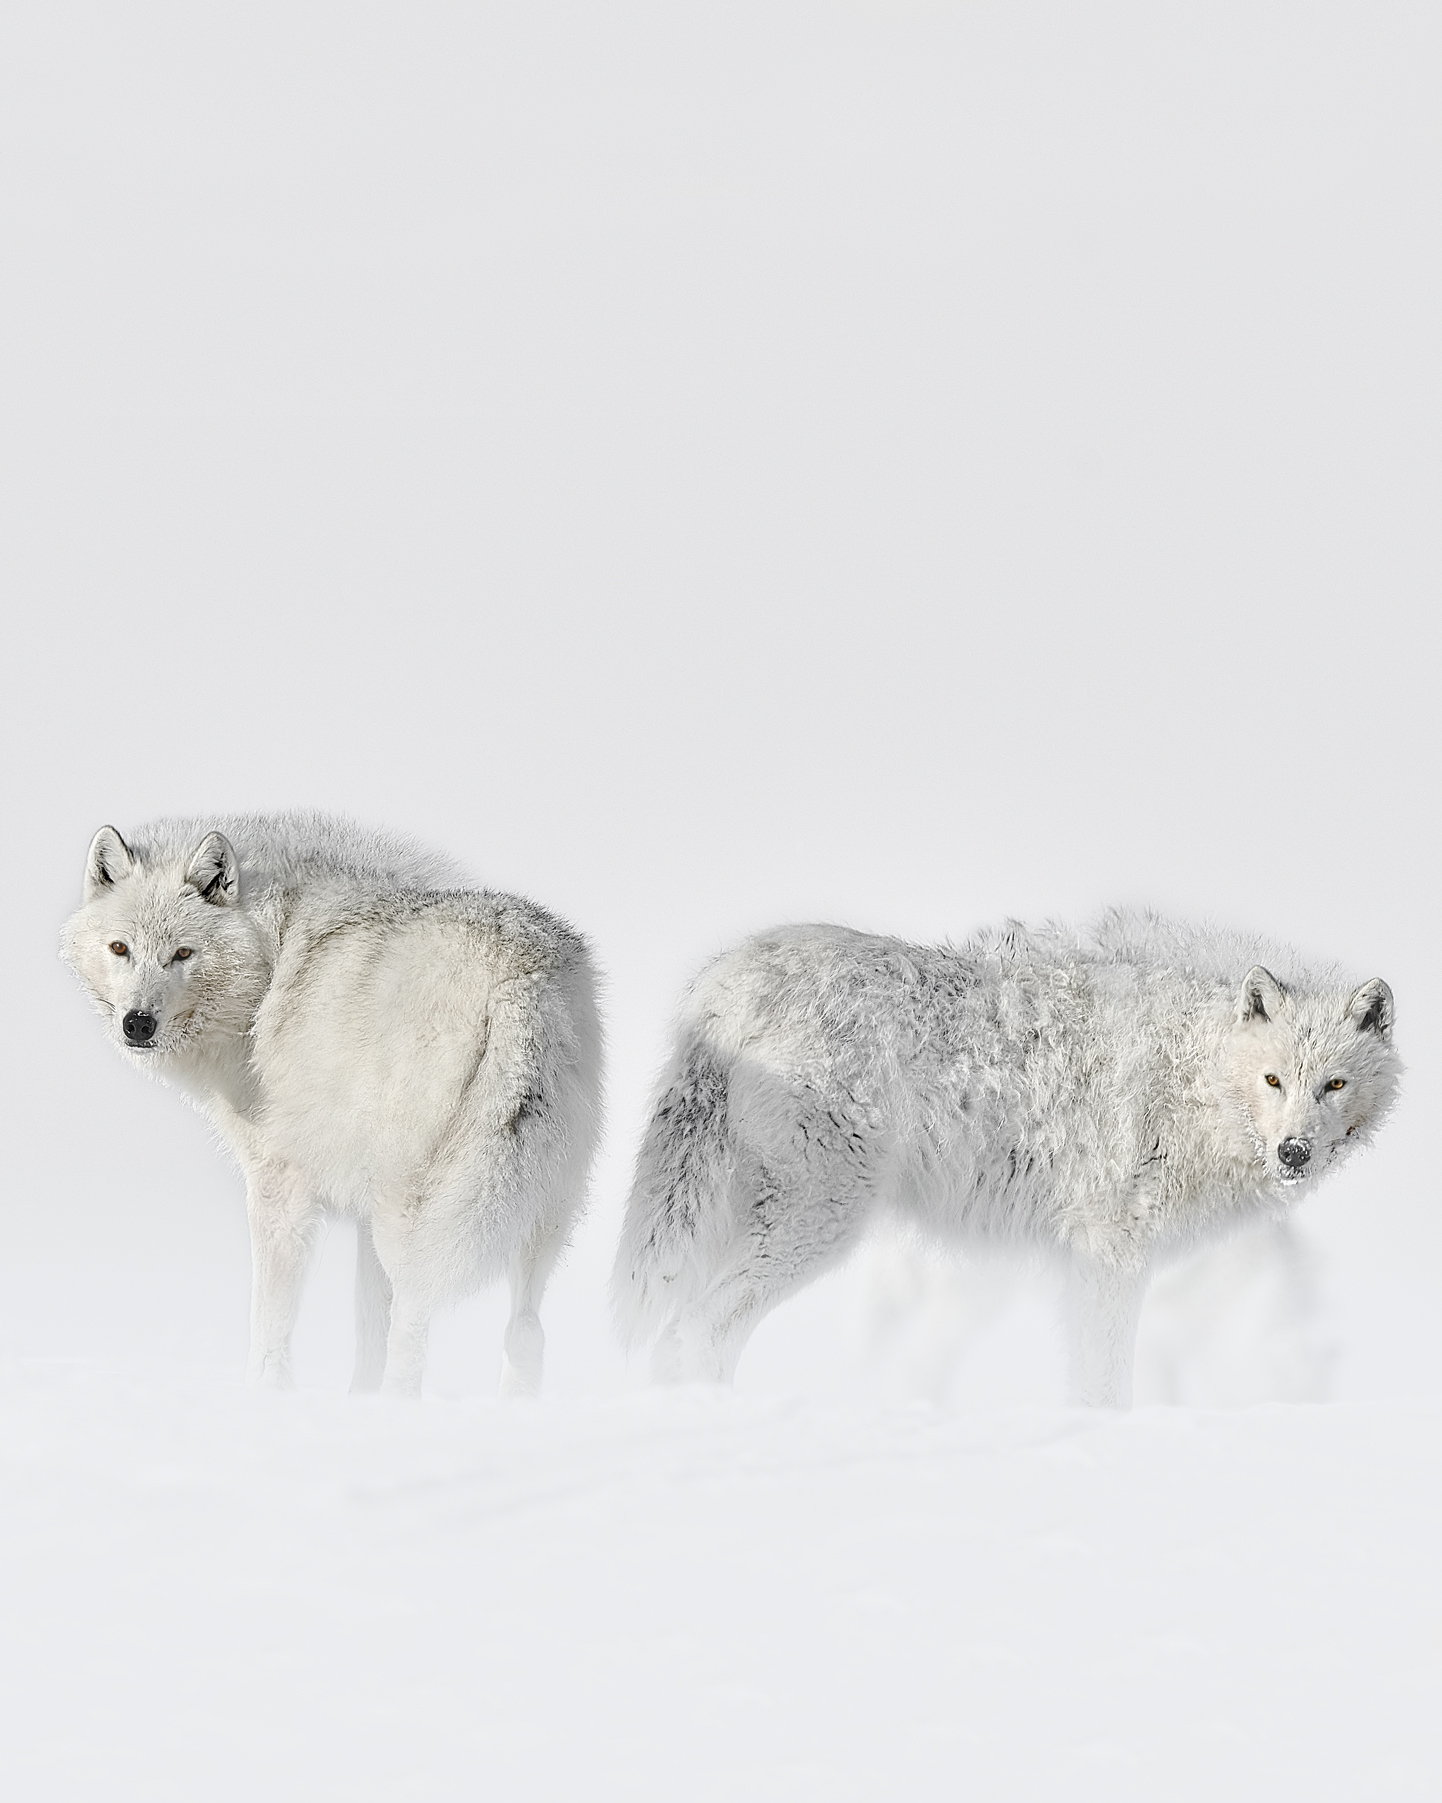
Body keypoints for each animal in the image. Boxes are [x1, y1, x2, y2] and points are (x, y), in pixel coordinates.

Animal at [61, 813, 603, 1397]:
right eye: (120, 948)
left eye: (183, 953)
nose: (137, 1024)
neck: (269, 960)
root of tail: (518, 976)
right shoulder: (364, 1212)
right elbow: (367, 1321)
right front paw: (355, 1400)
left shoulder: (279, 1184)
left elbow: (270, 1321)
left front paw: (265, 1394)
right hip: (533, 1210)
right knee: (525, 1332)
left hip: (417, 1215)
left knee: (415, 1328)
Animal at [612, 912, 1398, 1406]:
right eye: (1274, 1080)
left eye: (1334, 1084)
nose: (1294, 1151)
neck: (1195, 1074)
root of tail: (723, 980)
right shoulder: (1111, 1252)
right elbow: (1108, 1384)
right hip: (820, 1222)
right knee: (700, 1328)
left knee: (674, 1337)